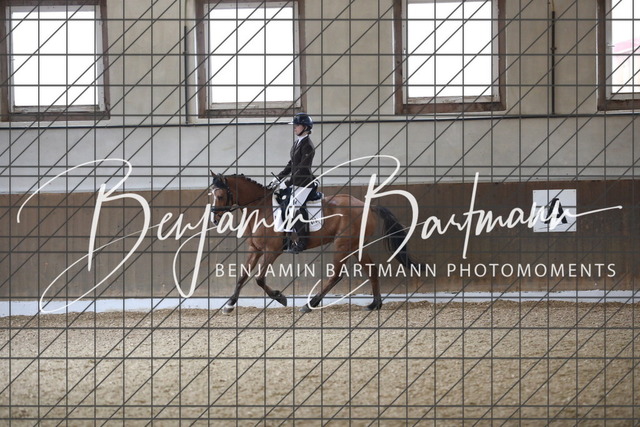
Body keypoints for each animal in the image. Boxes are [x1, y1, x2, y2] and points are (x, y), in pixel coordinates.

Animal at [209, 172, 418, 313]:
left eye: (220, 196)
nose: (214, 219)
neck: (260, 208)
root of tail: (368, 206)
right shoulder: (255, 249)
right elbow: (242, 277)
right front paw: (229, 305)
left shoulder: (272, 250)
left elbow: (259, 279)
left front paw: (280, 297)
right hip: (356, 246)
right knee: (372, 270)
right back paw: (375, 304)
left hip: (342, 245)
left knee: (337, 275)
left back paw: (310, 305)